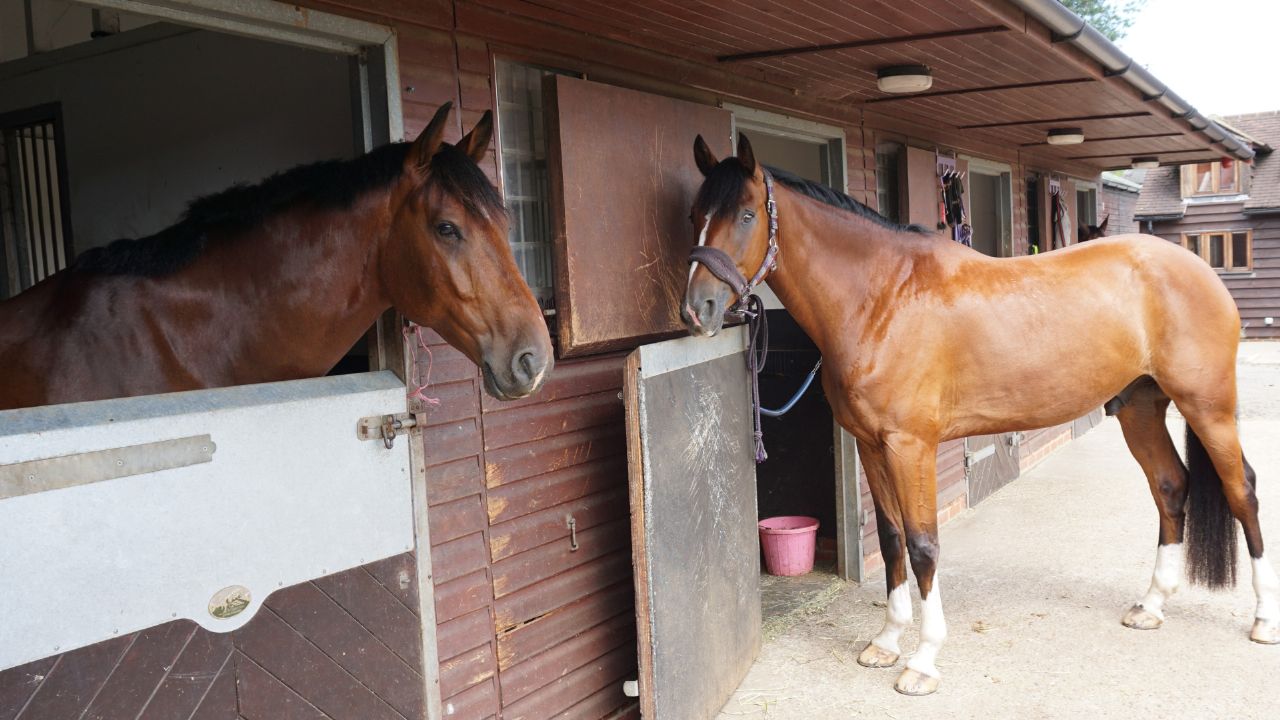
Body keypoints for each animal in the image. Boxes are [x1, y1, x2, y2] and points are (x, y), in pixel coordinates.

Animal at [681, 133, 1277, 696]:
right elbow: (891, 539)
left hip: (1208, 406)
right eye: (695, 216)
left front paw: (922, 661)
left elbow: (923, 546)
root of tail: (1198, 268)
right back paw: (1151, 606)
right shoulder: (870, 445)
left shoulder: (910, 446)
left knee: (1241, 489)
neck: (881, 299)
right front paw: (887, 642)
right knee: (1170, 485)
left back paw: (1263, 619)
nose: (697, 309)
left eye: (747, 215)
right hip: (1140, 407)